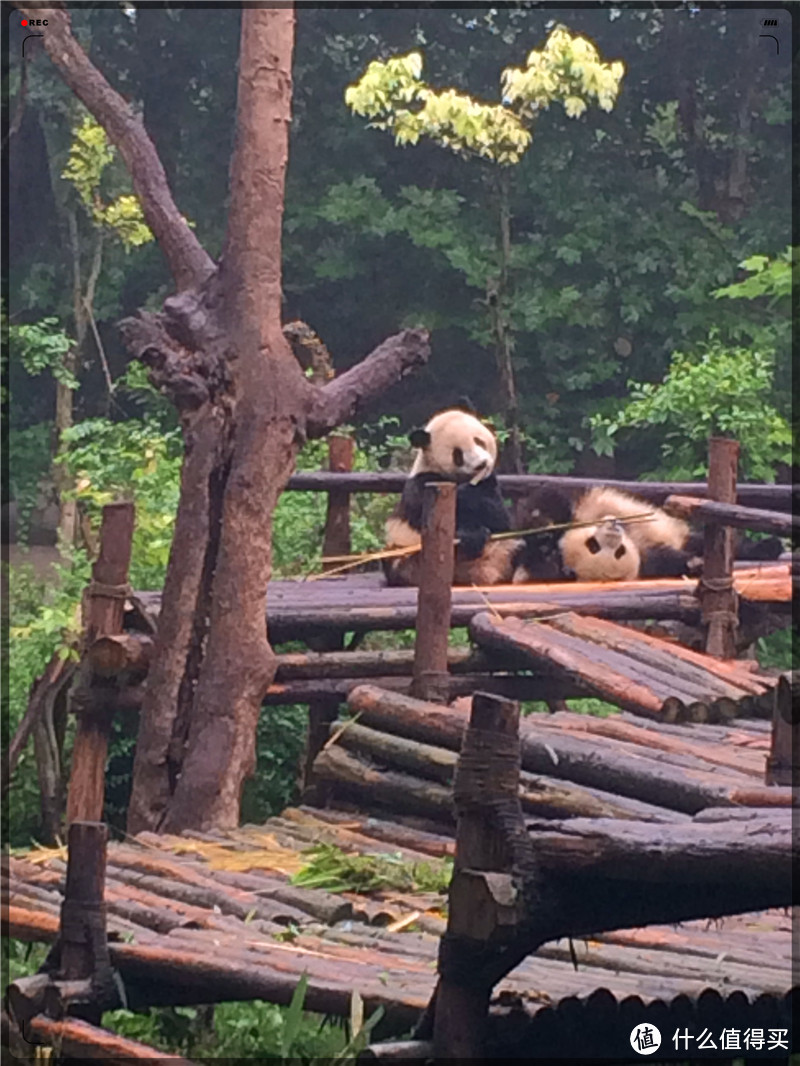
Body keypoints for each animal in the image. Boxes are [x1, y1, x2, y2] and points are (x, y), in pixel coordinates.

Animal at [384, 409, 520, 592]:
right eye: (458, 454)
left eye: (478, 441)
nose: (481, 464)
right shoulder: (423, 483)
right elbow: (425, 519)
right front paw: (472, 534)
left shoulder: (490, 484)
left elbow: (500, 519)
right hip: (404, 548)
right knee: (398, 562)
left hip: (503, 549)